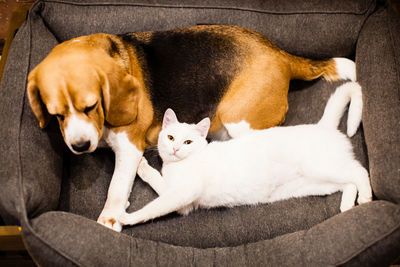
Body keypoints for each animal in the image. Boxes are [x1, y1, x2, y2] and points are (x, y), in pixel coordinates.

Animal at [119, 82, 372, 228]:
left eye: (188, 141)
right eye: (170, 137)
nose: (175, 149)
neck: (176, 166)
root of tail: (323, 126)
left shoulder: (182, 195)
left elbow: (153, 208)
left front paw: (125, 217)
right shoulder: (181, 199)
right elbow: (156, 180)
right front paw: (142, 166)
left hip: (324, 167)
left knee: (360, 172)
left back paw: (366, 199)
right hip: (319, 183)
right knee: (349, 183)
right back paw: (347, 206)